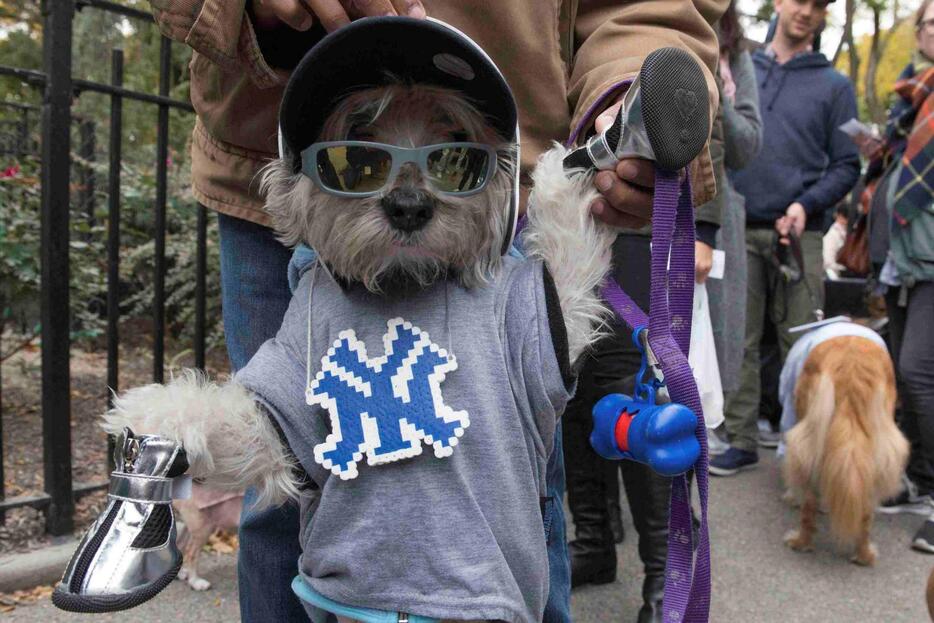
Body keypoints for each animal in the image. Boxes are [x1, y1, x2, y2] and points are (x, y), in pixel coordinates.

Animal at [788, 332, 912, 564]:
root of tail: (852, 368)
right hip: (879, 453)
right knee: (865, 510)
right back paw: (864, 555)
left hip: (808, 442)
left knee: (809, 502)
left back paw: (800, 542)